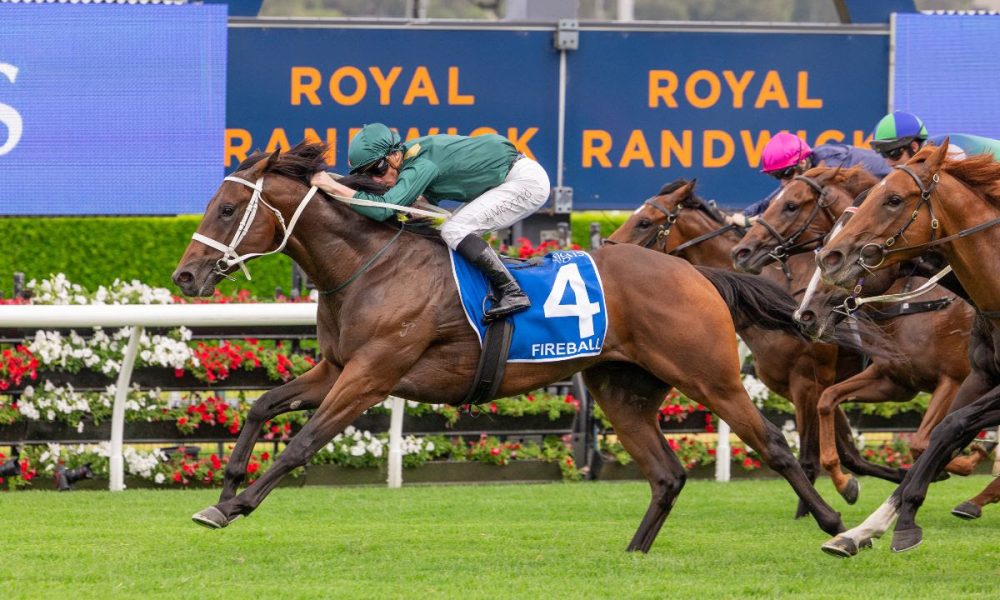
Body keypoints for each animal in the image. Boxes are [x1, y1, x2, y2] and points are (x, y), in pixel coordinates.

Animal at [171, 142, 846, 552]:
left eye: (226, 208)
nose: (185, 276)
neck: (369, 266)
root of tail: (697, 274)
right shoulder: (336, 366)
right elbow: (263, 407)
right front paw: (225, 490)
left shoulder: (372, 373)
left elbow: (303, 442)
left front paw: (235, 505)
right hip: (622, 390)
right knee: (667, 474)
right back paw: (633, 553)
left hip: (710, 377)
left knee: (775, 444)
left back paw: (837, 522)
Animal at [605, 179, 912, 513]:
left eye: (644, 222)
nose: (609, 249)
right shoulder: (801, 386)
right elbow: (849, 454)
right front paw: (856, 486)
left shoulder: (806, 382)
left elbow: (809, 457)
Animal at [728, 167, 984, 499]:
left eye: (791, 205)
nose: (741, 252)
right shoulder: (894, 379)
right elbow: (830, 406)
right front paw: (846, 481)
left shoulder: (953, 379)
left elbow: (923, 441)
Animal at [815, 141, 1000, 554]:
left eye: (894, 199)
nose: (830, 258)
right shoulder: (977, 378)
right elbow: (938, 439)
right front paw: (861, 530)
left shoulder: (958, 380)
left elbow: (948, 429)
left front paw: (906, 522)